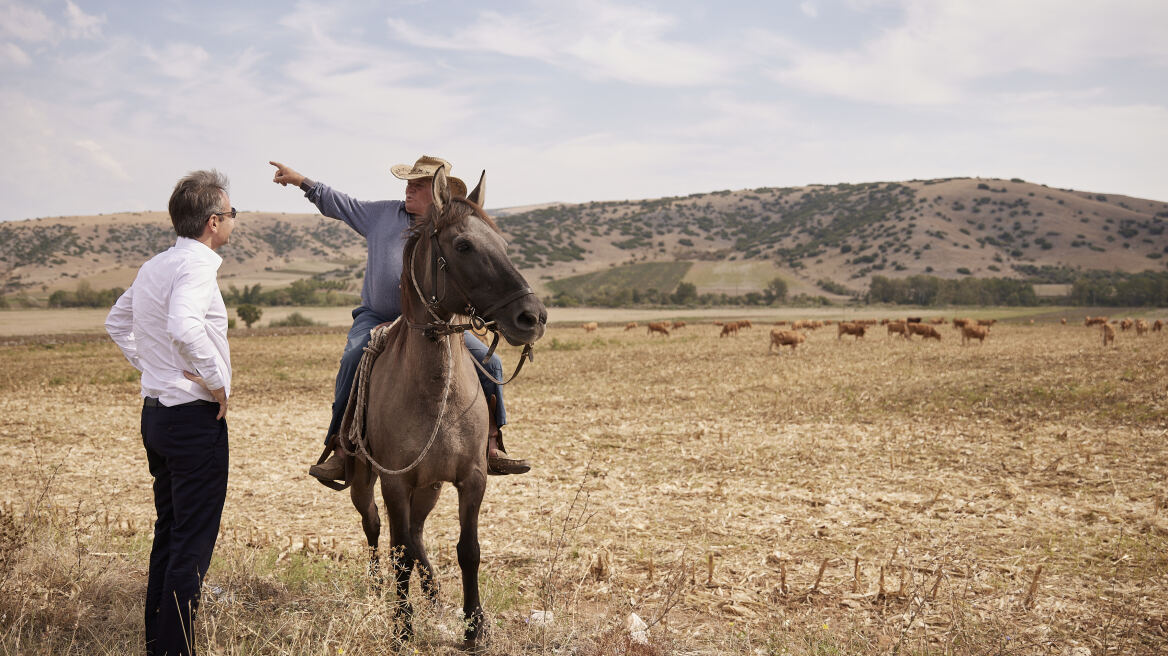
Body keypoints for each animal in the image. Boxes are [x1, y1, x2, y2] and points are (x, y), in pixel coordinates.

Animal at [341, 165, 546, 644]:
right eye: (463, 245)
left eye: (502, 244)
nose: (532, 317)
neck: (436, 394)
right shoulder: (395, 482)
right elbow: (397, 551)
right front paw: (402, 627)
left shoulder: (471, 479)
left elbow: (467, 549)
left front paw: (475, 627)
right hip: (365, 482)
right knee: (375, 528)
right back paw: (377, 589)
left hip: (430, 487)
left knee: (416, 535)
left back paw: (433, 592)